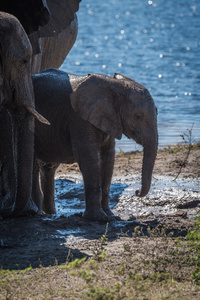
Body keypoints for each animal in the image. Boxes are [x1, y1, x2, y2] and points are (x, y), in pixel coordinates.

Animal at [32, 68, 158, 223]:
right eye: (138, 116)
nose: (136, 192)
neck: (114, 85)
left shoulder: (109, 119)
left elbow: (108, 159)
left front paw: (110, 216)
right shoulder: (78, 118)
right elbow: (89, 157)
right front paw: (98, 218)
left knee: (48, 168)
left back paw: (50, 214)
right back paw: (38, 213)